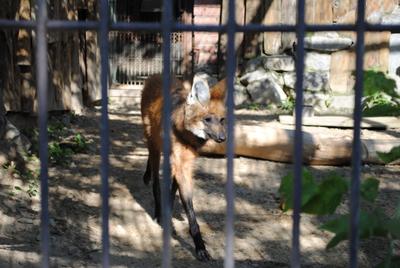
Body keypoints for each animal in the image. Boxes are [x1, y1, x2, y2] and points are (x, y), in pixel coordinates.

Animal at [141, 74, 227, 260]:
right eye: (207, 119)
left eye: (222, 120)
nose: (222, 138)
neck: (186, 135)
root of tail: (155, 75)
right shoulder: (180, 165)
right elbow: (190, 213)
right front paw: (200, 247)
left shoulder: (183, 165)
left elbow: (174, 193)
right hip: (153, 141)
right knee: (155, 180)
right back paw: (157, 211)